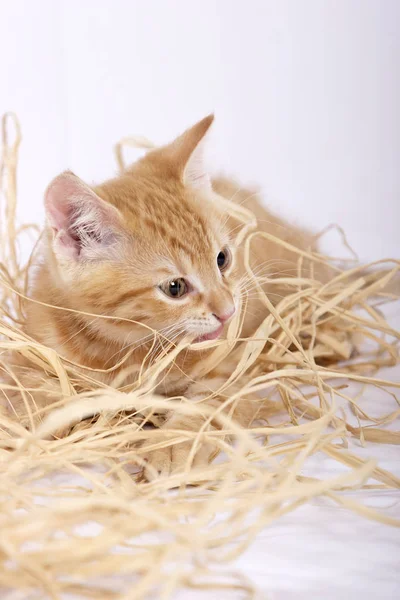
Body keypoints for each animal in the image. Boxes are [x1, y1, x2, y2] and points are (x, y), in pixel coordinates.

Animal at [3, 115, 318, 476]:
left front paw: (171, 445)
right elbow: (29, 387)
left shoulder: (235, 370)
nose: (228, 311)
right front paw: (26, 419)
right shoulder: (35, 347)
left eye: (222, 259)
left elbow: (207, 407)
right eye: (175, 288)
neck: (129, 350)